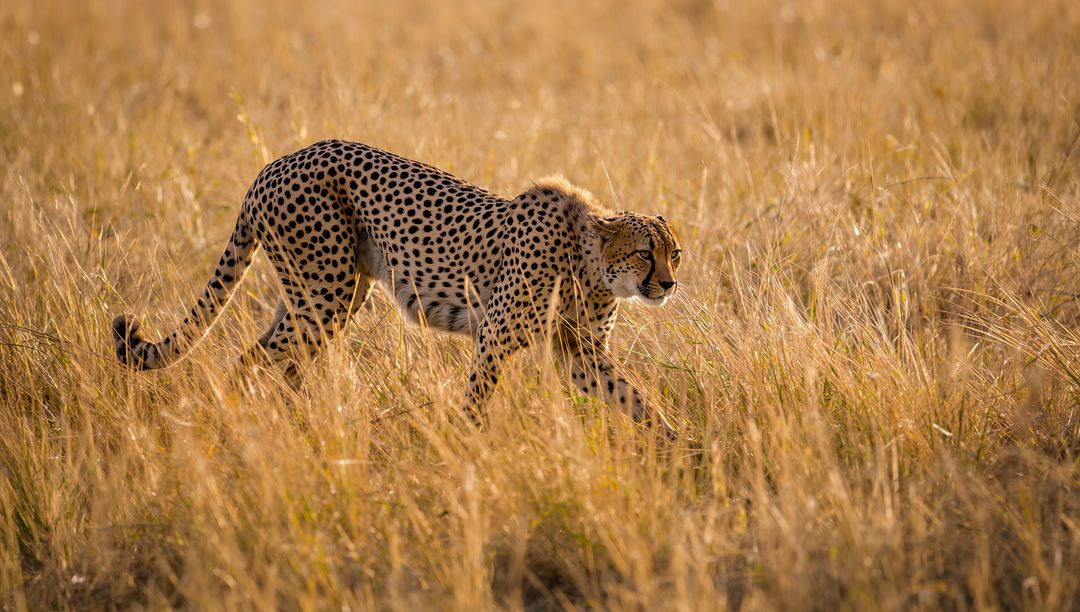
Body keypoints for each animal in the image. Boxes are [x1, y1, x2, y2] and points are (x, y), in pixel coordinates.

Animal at [112, 139, 682, 434]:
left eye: (674, 252)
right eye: (644, 252)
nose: (669, 283)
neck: (590, 264)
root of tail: (277, 163)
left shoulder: (580, 351)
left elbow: (633, 397)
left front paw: (677, 448)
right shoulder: (494, 339)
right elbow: (478, 400)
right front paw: (468, 451)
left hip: (325, 294)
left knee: (266, 357)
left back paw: (285, 424)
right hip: (325, 295)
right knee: (257, 361)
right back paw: (246, 423)